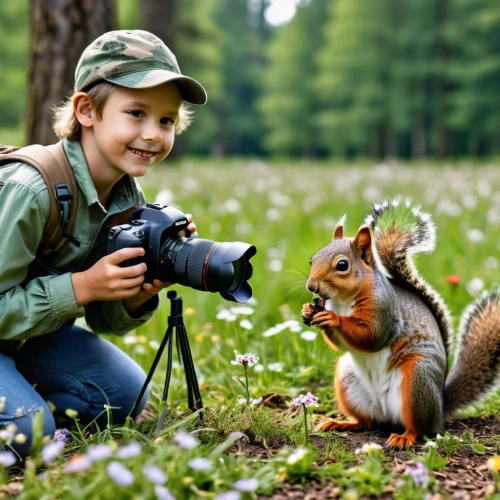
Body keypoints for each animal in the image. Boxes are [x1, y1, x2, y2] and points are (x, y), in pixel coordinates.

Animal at [300, 199, 500, 450]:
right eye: (312, 259)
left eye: (342, 265)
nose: (311, 286)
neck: (343, 300)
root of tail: (440, 409)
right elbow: (342, 344)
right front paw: (308, 311)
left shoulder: (385, 311)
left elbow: (371, 336)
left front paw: (333, 319)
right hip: (349, 381)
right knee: (366, 422)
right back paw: (341, 423)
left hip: (416, 379)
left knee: (420, 429)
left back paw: (404, 437)